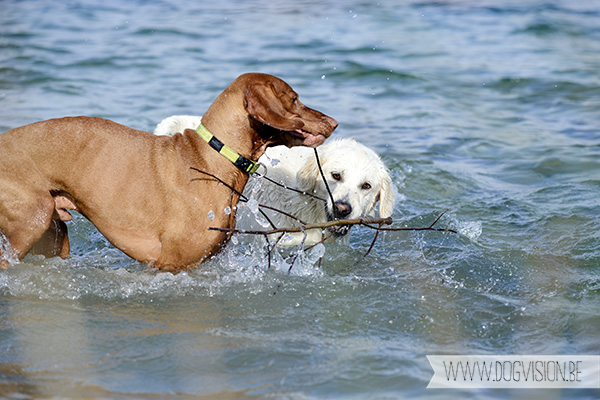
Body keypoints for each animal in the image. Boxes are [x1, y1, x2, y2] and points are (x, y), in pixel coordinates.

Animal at [0, 73, 338, 270]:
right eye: (294, 98)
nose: (334, 122)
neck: (212, 158)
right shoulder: (171, 264)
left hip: (54, 237)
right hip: (31, 220)